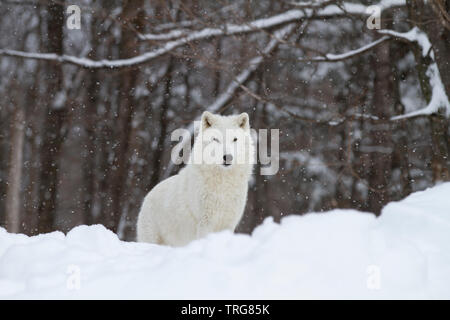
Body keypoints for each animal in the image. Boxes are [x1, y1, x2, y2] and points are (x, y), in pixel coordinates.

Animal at [135, 111, 255, 246]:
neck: (223, 183)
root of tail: (146, 197)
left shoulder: (229, 223)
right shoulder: (205, 222)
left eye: (235, 139)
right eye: (216, 139)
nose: (227, 157)